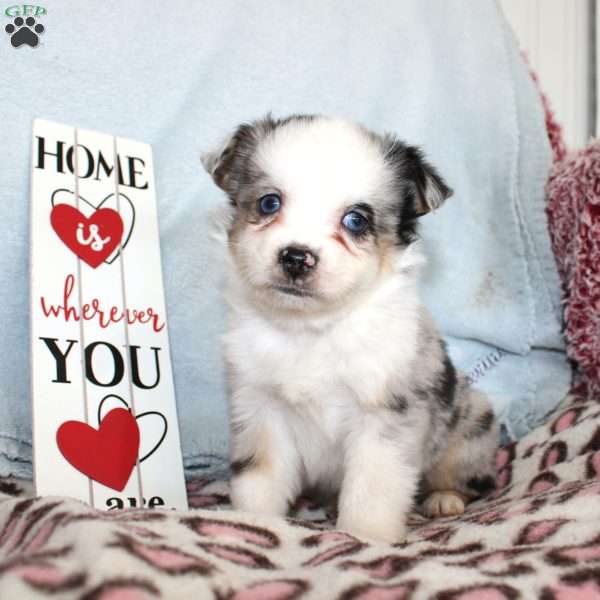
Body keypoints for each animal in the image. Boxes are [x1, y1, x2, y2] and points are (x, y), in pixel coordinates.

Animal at [202, 113, 496, 544]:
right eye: (269, 202)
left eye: (356, 220)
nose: (296, 257)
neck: (311, 327)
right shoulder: (261, 409)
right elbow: (260, 476)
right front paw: (252, 521)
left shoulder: (384, 415)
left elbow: (373, 487)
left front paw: (366, 536)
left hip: (471, 427)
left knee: (460, 476)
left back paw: (444, 499)